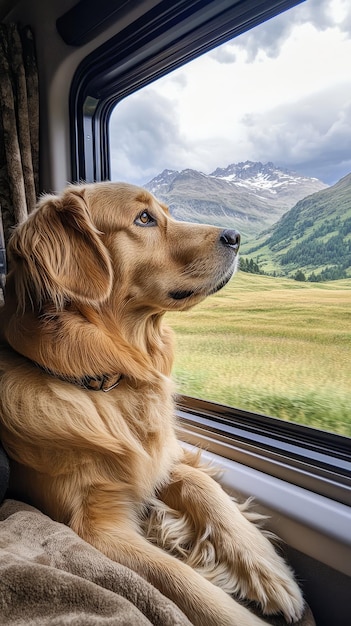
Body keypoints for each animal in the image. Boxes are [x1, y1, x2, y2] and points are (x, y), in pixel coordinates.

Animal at [0, 182, 304, 624]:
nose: (236, 236)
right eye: (144, 218)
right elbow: (176, 575)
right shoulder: (94, 528)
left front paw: (268, 570)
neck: (107, 380)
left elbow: (201, 483)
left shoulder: (157, 456)